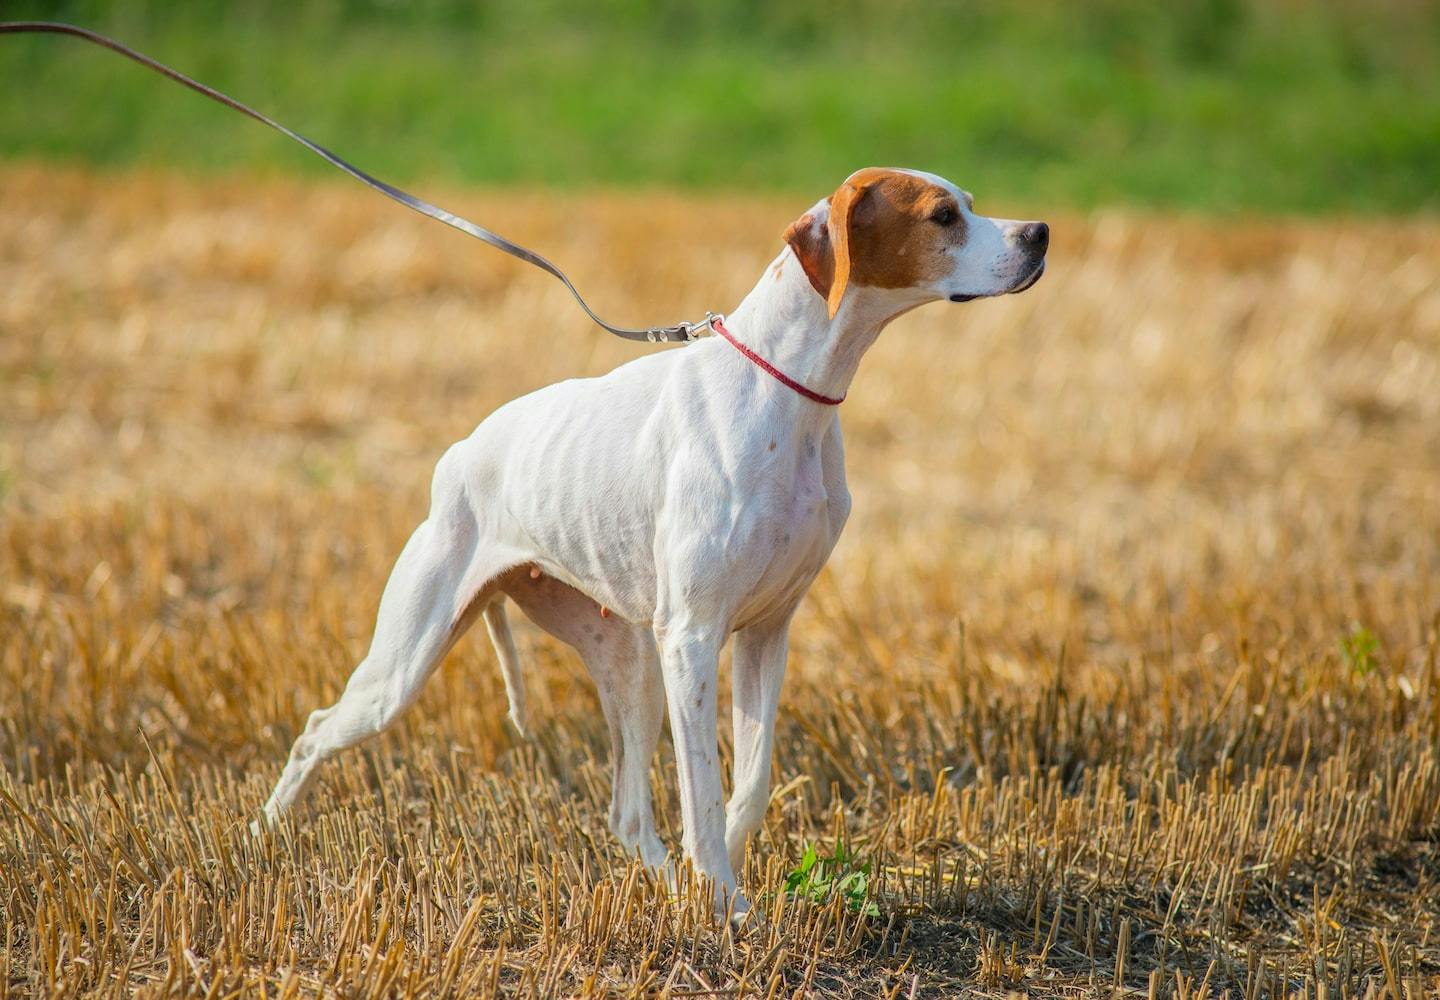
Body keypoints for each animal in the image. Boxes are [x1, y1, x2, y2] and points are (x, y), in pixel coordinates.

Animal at [259, 168, 1048, 922]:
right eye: (942, 215)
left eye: (969, 201)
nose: (1040, 232)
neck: (785, 393)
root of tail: (459, 454)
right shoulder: (693, 637)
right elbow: (702, 789)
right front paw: (725, 902)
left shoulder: (767, 630)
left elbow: (751, 782)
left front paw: (722, 887)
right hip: (406, 667)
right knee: (314, 730)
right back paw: (264, 835)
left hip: (628, 662)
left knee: (628, 814)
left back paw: (668, 888)